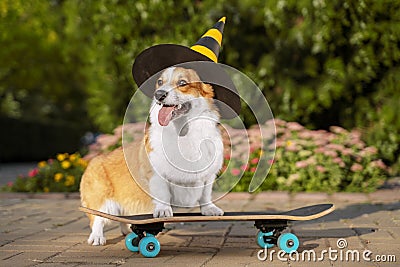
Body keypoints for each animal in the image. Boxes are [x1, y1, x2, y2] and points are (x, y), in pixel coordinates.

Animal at [80, 67, 225, 247]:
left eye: (182, 83)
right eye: (160, 82)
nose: (159, 94)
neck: (184, 133)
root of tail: (92, 161)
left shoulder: (208, 174)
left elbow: (205, 193)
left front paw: (209, 209)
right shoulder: (157, 174)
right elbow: (162, 193)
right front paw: (163, 211)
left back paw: (126, 230)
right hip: (102, 200)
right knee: (98, 218)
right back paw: (97, 237)